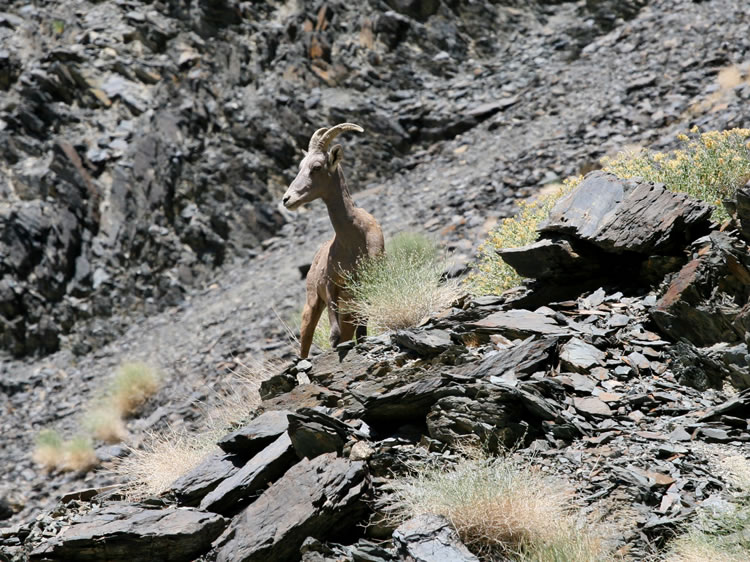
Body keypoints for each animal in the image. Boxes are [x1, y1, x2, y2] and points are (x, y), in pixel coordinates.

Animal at [284, 124, 384, 356]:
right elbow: (333, 327)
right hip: (312, 305)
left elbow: (362, 328)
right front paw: (333, 341)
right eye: (300, 166)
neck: (354, 240)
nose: (287, 199)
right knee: (305, 342)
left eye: (317, 167)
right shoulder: (330, 285)